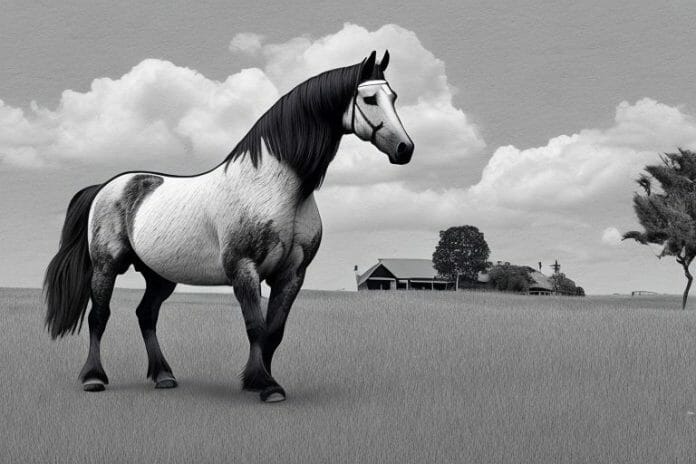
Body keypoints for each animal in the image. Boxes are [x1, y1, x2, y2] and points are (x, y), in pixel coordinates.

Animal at [43, 50, 414, 402]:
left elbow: (274, 331)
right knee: (99, 316)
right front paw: (266, 386)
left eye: (393, 96)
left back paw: (164, 376)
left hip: (159, 276)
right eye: (369, 98)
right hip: (106, 266)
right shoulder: (244, 269)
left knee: (146, 314)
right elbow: (255, 326)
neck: (274, 187)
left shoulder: (291, 274)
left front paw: (257, 381)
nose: (405, 149)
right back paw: (94, 378)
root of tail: (106, 187)